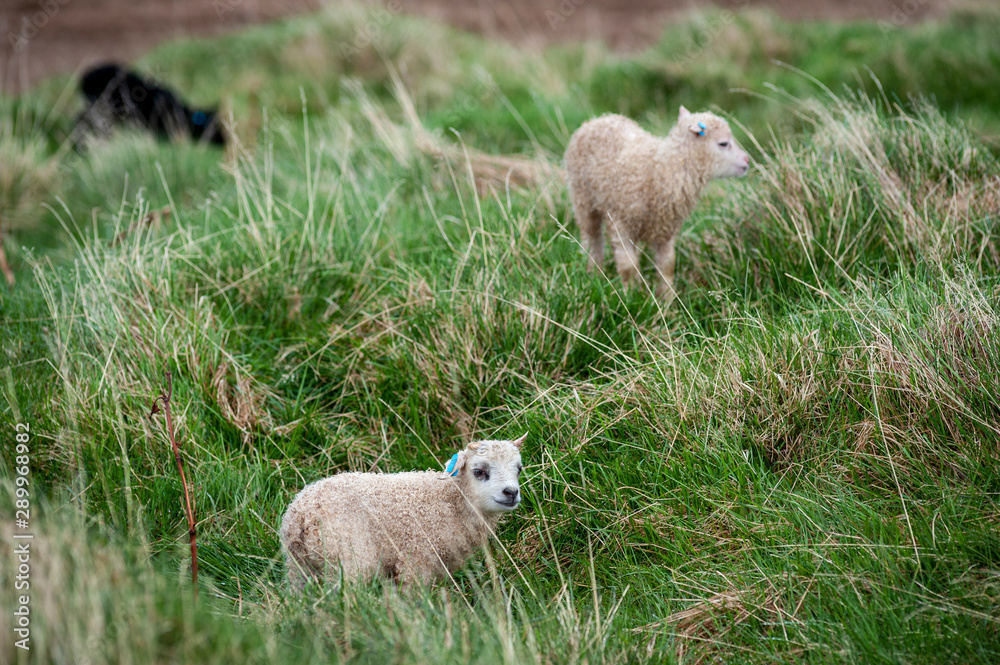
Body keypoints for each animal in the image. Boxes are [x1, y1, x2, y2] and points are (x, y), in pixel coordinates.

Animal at [279, 434, 527, 590]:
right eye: (479, 471)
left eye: (519, 469)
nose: (511, 492)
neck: (448, 501)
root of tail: (300, 515)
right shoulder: (416, 560)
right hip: (348, 559)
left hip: (299, 567)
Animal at [565, 107, 750, 302]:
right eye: (723, 143)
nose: (747, 161)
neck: (660, 168)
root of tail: (597, 119)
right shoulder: (619, 222)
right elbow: (628, 266)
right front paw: (631, 296)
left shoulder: (665, 230)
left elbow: (667, 266)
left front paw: (668, 301)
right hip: (582, 199)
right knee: (592, 238)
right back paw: (594, 272)